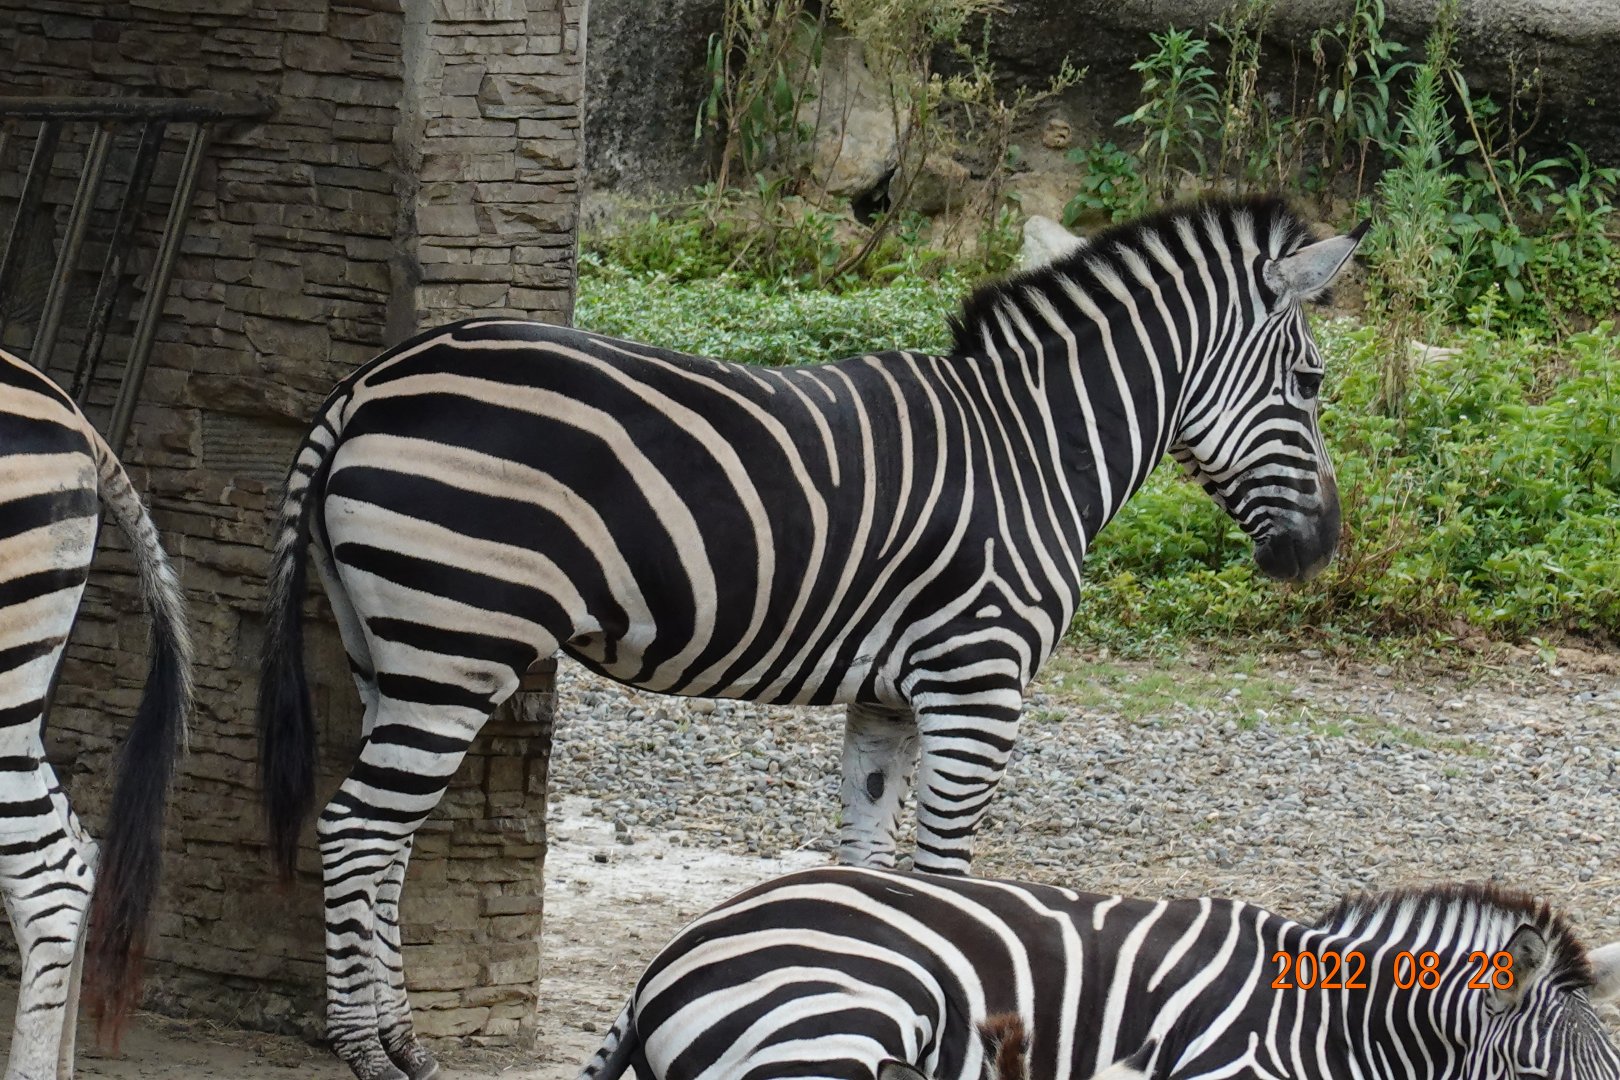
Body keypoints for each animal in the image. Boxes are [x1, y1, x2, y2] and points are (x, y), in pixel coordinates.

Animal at [257, 194, 1364, 1080]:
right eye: (1312, 385)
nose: (1320, 551)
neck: (1036, 453)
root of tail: (372, 382)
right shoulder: (979, 682)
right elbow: (946, 879)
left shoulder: (888, 700)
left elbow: (873, 870)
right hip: (456, 635)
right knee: (356, 829)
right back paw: (364, 1049)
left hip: (392, 645)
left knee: (387, 836)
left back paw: (400, 1037)